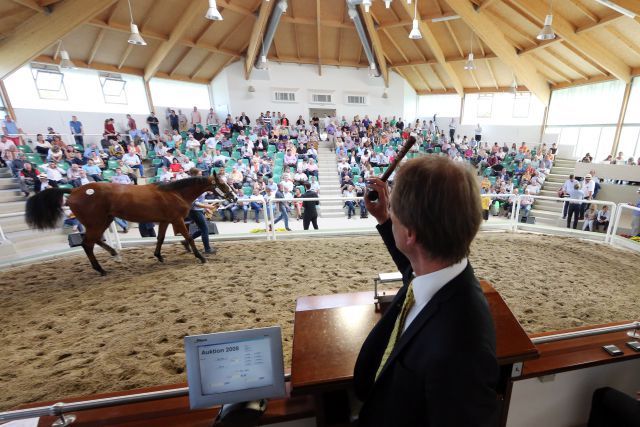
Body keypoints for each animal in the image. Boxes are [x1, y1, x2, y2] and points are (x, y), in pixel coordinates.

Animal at [24, 172, 238, 276]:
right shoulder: (176, 219)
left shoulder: (164, 221)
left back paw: (114, 254)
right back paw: (101, 269)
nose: (234, 197)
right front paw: (200, 256)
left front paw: (159, 256)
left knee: (95, 241)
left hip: (104, 220)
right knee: (87, 244)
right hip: (96, 222)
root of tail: (74, 190)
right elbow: (188, 237)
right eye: (223, 184)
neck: (174, 192)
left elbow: (160, 239)